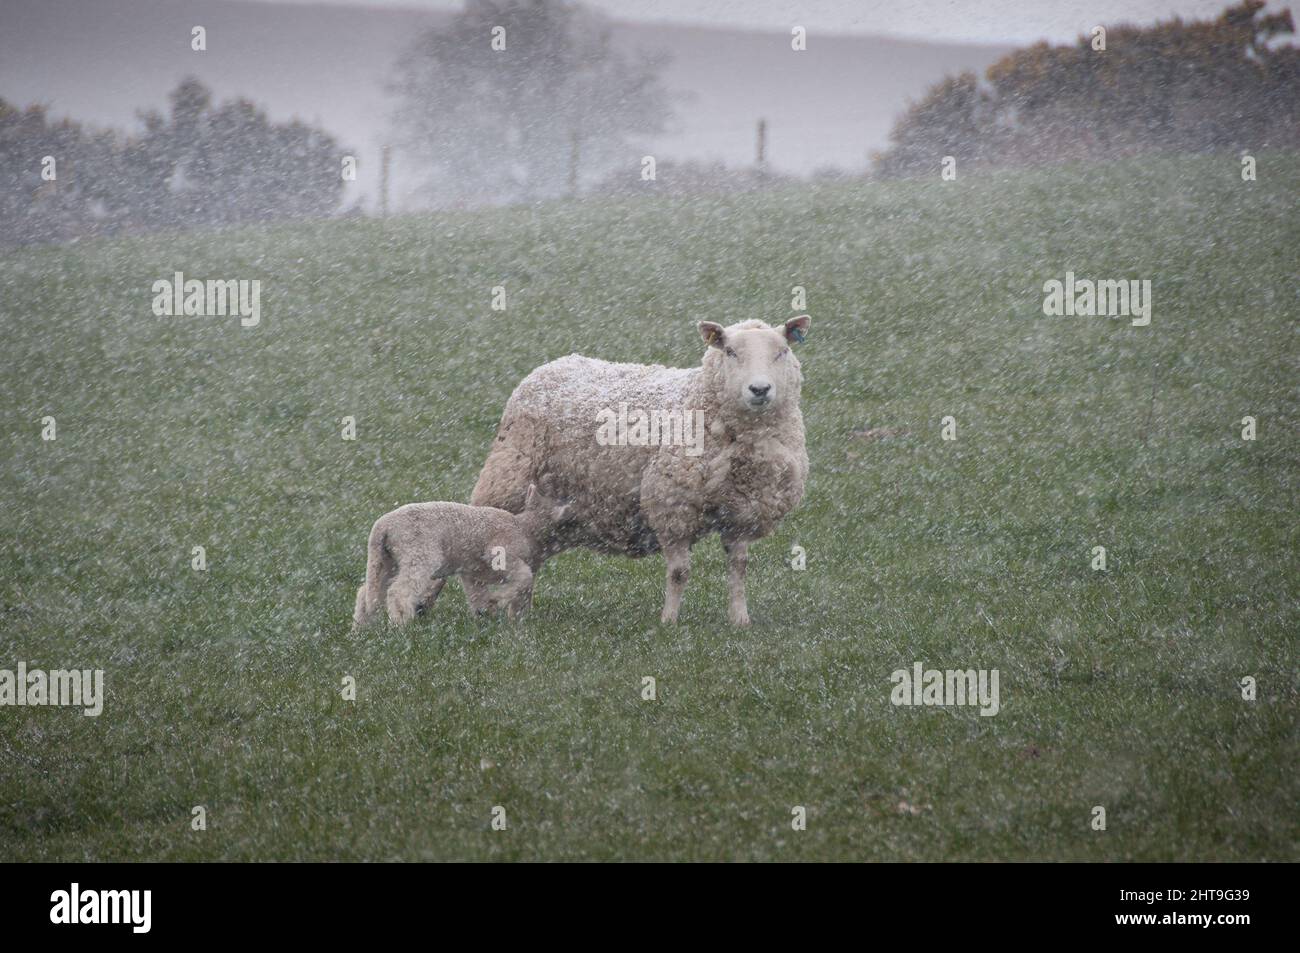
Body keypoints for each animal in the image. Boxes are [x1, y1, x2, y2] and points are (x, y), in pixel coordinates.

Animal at [352, 484, 569, 628]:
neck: (525, 529)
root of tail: (381, 527)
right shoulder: (501, 553)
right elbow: (525, 577)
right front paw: (498, 600)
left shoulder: (471, 572)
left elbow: (477, 595)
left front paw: (487, 614)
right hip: (419, 553)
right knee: (398, 591)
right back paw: (402, 625)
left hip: (386, 559)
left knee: (368, 592)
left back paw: (362, 629)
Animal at [469, 316, 811, 626]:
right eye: (730, 352)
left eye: (782, 351)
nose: (759, 389)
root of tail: (555, 364)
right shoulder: (672, 505)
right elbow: (679, 572)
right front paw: (669, 622)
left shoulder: (742, 513)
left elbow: (739, 568)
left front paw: (740, 620)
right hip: (506, 485)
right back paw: (484, 611)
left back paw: (519, 613)